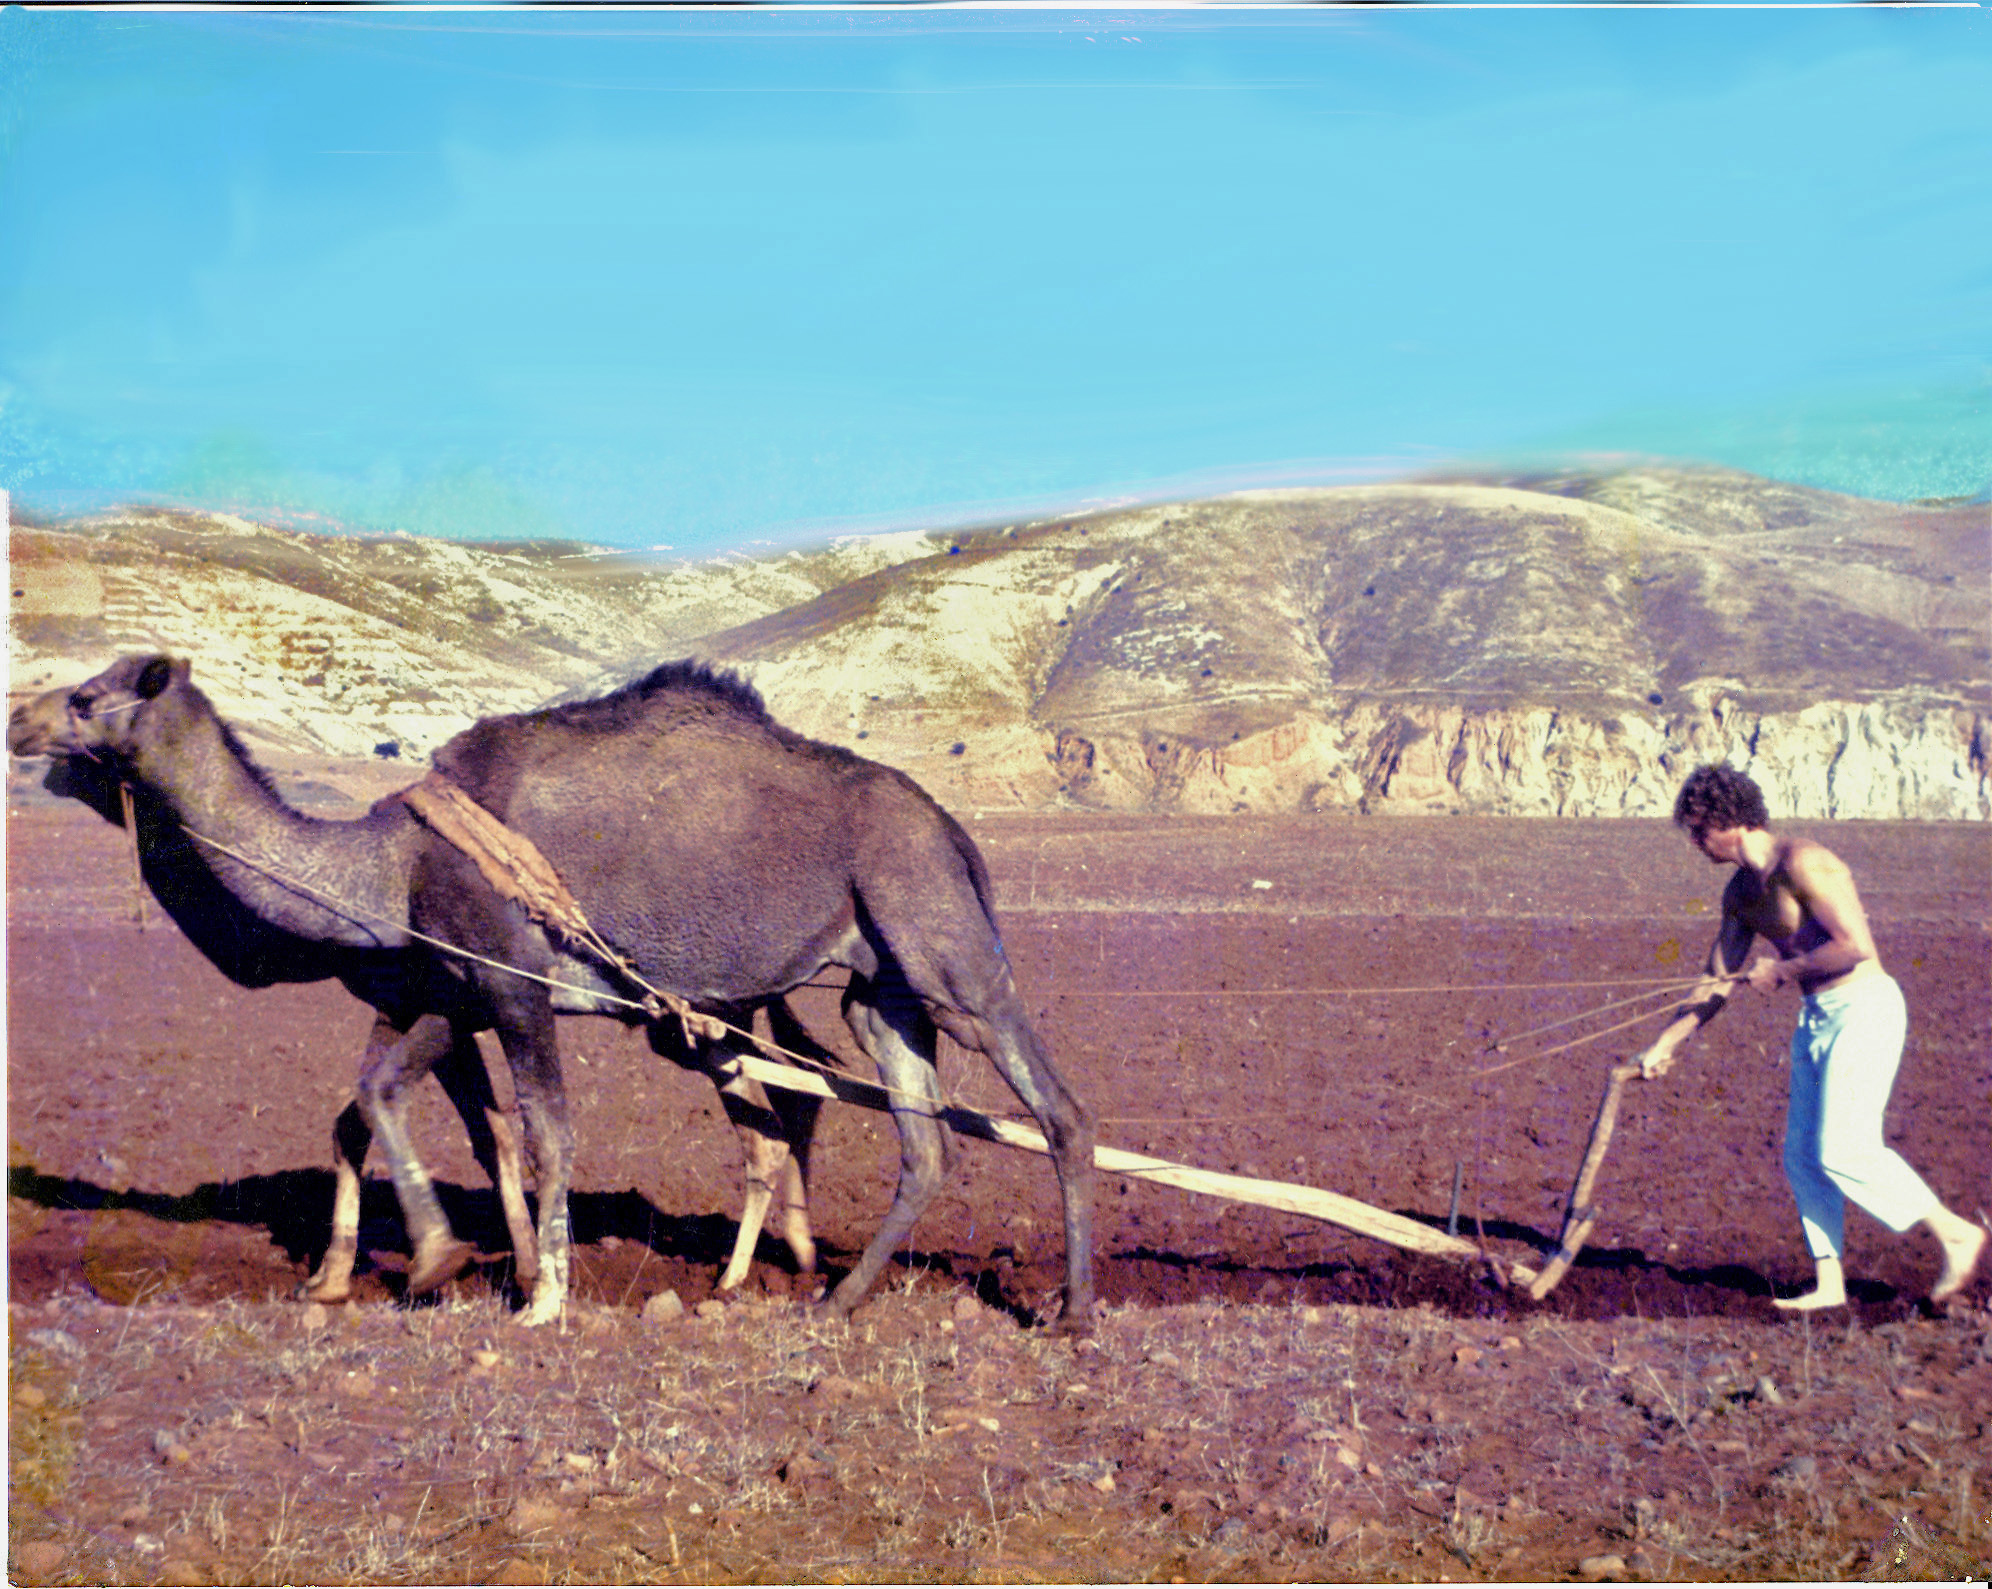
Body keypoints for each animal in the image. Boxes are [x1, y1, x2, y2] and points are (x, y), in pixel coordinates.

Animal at [7, 657, 1099, 1330]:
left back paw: (1075, 1310)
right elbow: (383, 1104)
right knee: (917, 1139)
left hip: (937, 939)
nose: (18, 718)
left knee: (1057, 1110)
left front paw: (538, 1294)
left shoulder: (511, 982)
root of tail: (951, 825)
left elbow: (542, 1133)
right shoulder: (451, 993)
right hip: (874, 990)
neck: (383, 865)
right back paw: (829, 1298)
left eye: (90, 695)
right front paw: (411, 1263)